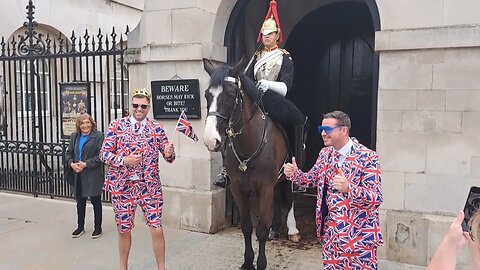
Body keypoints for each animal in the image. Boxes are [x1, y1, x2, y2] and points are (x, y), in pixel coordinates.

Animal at [202, 58, 300, 268]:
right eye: (207, 95)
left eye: (231, 94)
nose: (210, 140)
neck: (249, 144)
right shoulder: (238, 189)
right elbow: (247, 227)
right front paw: (248, 261)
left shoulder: (265, 189)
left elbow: (260, 229)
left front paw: (260, 263)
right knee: (278, 199)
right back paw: (275, 229)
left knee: (289, 198)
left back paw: (292, 230)